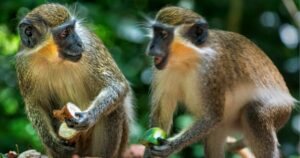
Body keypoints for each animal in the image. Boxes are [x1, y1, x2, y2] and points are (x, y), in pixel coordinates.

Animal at [15, 3, 133, 158]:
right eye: (65, 33)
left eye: (72, 29)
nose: (79, 43)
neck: (55, 60)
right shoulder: (24, 65)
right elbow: (36, 104)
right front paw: (54, 144)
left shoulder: (90, 48)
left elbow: (117, 85)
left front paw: (88, 117)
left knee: (114, 110)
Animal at [144, 5, 296, 157]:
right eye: (155, 32)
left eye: (163, 34)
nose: (151, 46)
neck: (187, 59)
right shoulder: (160, 71)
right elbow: (160, 115)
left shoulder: (211, 68)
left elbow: (211, 117)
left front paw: (171, 146)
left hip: (280, 108)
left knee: (254, 114)